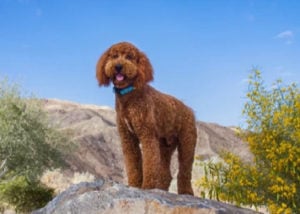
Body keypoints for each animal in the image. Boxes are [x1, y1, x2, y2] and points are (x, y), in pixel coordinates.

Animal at [96, 41, 197, 196]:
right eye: (114, 56)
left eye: (129, 57)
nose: (118, 66)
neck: (129, 96)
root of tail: (189, 109)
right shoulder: (128, 138)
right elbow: (133, 165)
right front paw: (134, 185)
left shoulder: (147, 135)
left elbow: (149, 163)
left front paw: (147, 187)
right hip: (165, 146)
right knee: (166, 173)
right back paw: (161, 189)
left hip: (187, 142)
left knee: (185, 170)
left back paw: (186, 192)